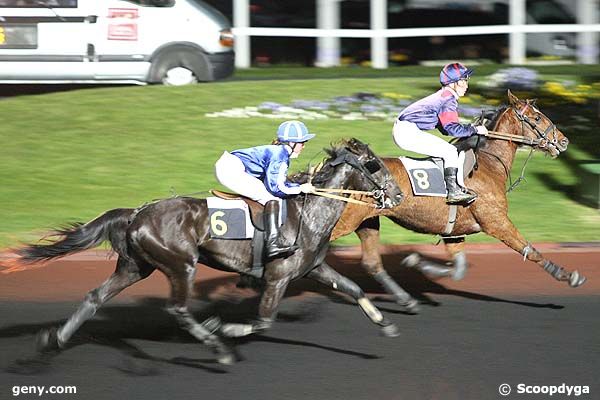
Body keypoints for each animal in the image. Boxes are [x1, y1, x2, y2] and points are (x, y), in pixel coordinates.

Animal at [3, 139, 404, 364]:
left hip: (135, 267)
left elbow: (354, 289)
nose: (398, 195)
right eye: (373, 164)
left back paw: (55, 339)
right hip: (181, 265)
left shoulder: (313, 269)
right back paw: (218, 348)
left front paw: (386, 325)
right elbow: (263, 320)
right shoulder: (278, 276)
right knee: (179, 309)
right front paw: (224, 327)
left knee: (94, 297)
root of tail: (136, 213)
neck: (309, 213)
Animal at [328, 91, 584, 312]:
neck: (487, 165)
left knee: (372, 263)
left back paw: (405, 300)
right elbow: (530, 251)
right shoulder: (497, 222)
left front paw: (417, 262)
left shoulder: (454, 232)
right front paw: (568, 275)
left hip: (367, 222)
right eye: (536, 117)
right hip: (344, 222)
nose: (564, 141)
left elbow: (459, 269)